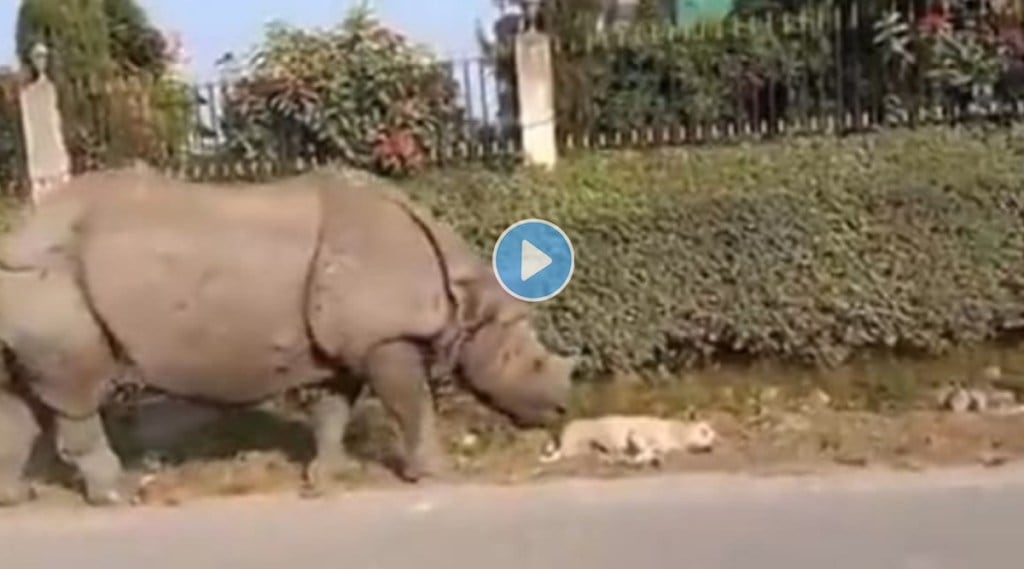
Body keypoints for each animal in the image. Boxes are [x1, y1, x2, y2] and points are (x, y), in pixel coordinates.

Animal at [540, 413, 716, 466]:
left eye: (713, 434)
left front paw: (651, 459)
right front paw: (642, 458)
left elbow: (651, 451)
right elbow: (642, 446)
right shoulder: (638, 433)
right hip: (584, 442)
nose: (712, 445)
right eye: (704, 431)